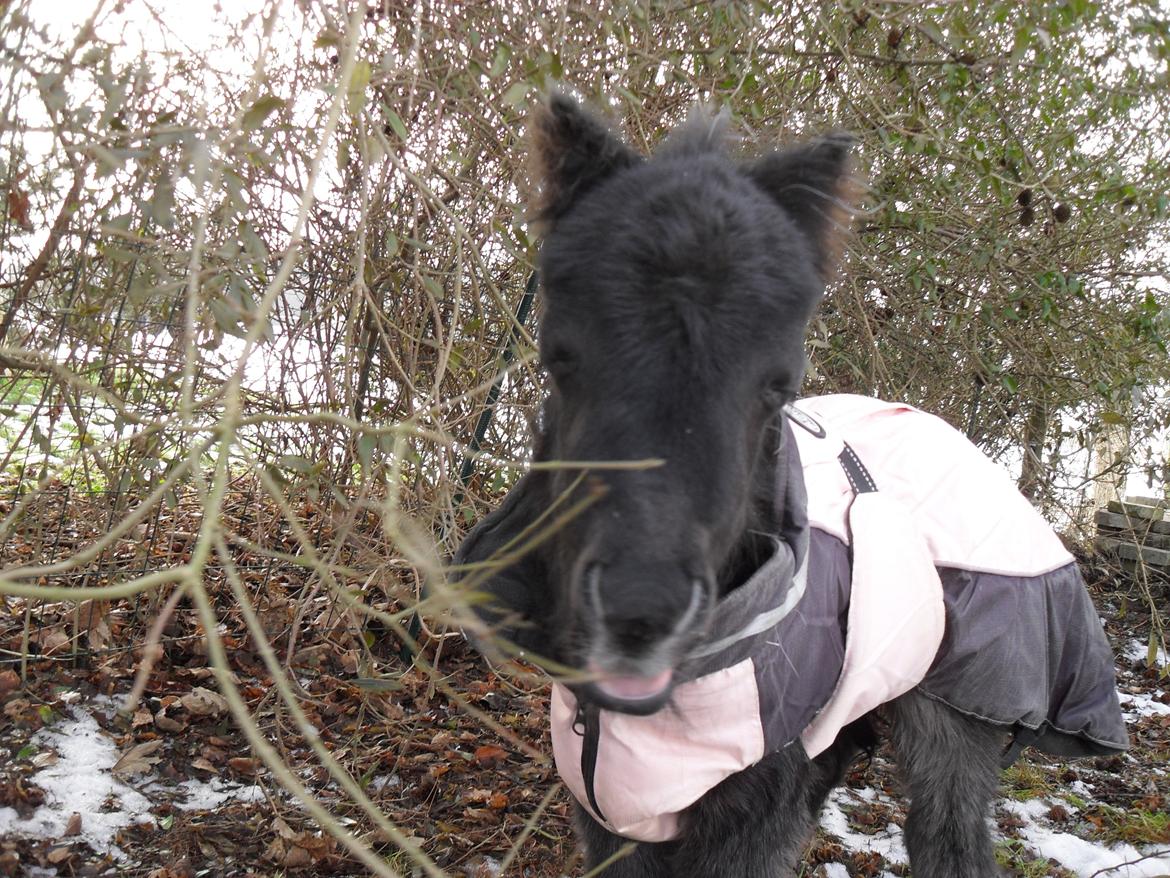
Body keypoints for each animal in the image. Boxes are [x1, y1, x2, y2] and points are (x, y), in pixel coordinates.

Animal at [453, 95, 1123, 878]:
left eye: (778, 387)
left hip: (956, 715)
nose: (639, 614)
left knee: (950, 837)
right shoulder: (613, 807)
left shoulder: (751, 819)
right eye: (559, 360)